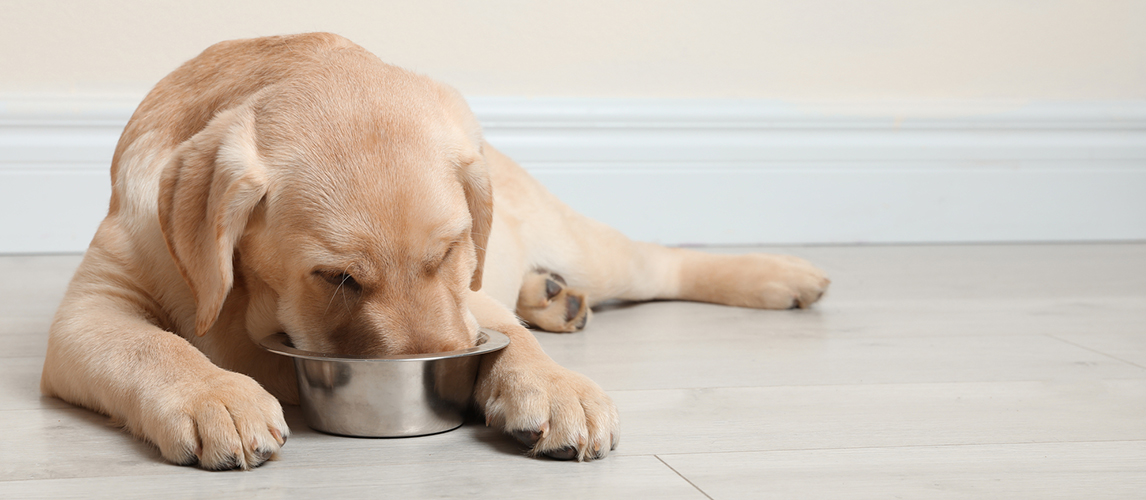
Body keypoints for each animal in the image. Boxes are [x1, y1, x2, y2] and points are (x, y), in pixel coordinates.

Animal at [40, 33, 829, 470]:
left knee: (659, 260)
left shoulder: (471, 297)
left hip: (584, 244)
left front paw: (556, 388)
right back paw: (555, 298)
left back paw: (782, 274)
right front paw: (217, 396)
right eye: (337, 277)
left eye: (450, 250)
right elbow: (154, 347)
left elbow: (506, 335)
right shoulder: (91, 310)